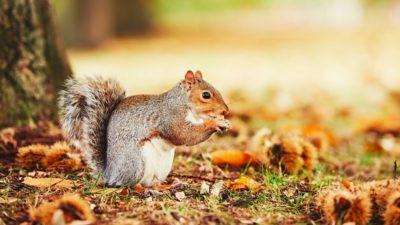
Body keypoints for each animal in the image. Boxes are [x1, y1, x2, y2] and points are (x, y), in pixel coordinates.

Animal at [57, 70, 230, 186]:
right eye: (206, 95)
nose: (226, 111)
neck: (183, 103)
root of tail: (110, 173)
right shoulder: (170, 117)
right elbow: (185, 135)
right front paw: (215, 123)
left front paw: (223, 122)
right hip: (136, 163)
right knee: (128, 184)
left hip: (162, 167)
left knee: (150, 182)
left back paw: (166, 185)